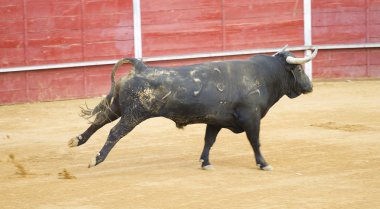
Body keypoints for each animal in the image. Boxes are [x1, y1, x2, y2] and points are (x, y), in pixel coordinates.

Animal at [69, 46, 318, 171]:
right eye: (299, 70)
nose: (310, 86)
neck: (264, 76)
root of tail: (140, 67)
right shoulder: (252, 118)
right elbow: (255, 141)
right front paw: (263, 163)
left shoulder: (216, 120)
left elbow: (209, 140)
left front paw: (205, 162)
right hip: (133, 115)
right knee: (114, 133)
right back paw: (96, 159)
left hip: (118, 107)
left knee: (99, 120)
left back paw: (76, 140)